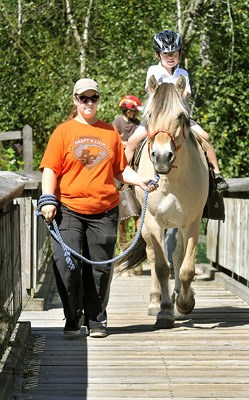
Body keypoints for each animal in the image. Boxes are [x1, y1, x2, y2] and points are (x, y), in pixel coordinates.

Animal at [117, 75, 209, 328]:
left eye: (181, 116)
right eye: (149, 115)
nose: (161, 157)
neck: (171, 180)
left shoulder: (192, 223)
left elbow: (186, 267)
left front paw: (184, 303)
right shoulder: (152, 221)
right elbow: (159, 266)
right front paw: (165, 311)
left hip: (177, 225)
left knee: (177, 255)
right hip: (148, 227)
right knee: (152, 254)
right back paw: (154, 301)